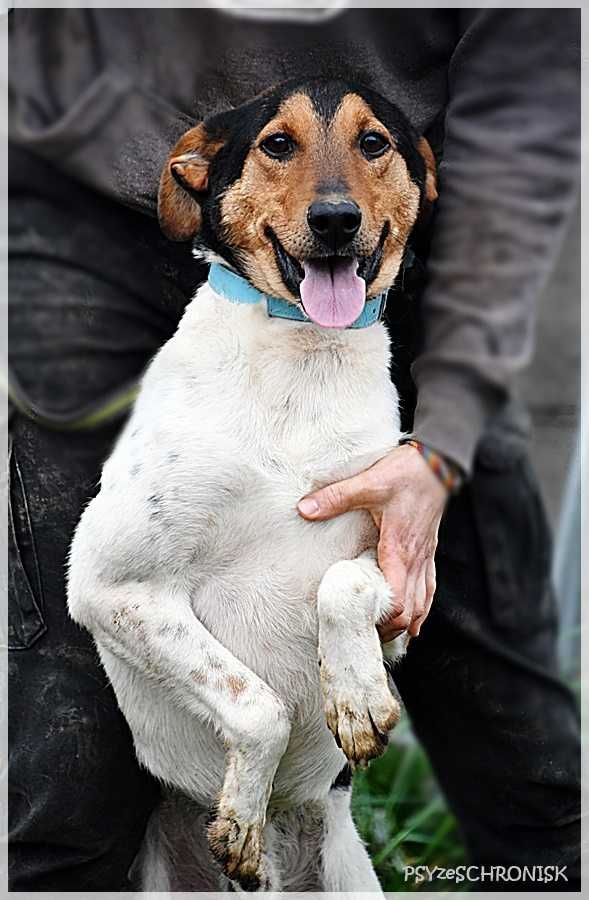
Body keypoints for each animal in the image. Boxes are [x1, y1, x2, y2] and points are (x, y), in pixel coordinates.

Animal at [69, 77, 436, 892]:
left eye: (374, 142)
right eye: (276, 143)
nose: (336, 221)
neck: (302, 358)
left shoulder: (401, 594)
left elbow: (340, 582)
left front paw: (358, 699)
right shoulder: (112, 587)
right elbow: (258, 705)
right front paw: (241, 815)